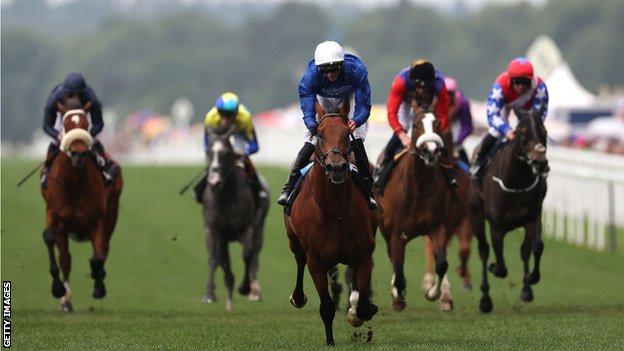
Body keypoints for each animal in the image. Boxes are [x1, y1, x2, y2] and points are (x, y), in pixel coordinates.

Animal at [40, 97, 123, 312]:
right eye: (67, 125)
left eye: (86, 125)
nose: (78, 154)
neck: (74, 184)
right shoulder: (55, 217)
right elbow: (54, 245)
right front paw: (59, 291)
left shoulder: (96, 220)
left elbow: (98, 256)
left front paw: (99, 284)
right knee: (66, 259)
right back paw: (66, 299)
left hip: (112, 212)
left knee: (104, 248)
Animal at [200, 126, 268, 310]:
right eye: (209, 151)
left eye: (226, 153)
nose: (214, 181)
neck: (225, 197)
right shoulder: (214, 230)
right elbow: (215, 259)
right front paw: (210, 294)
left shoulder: (247, 228)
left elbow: (247, 255)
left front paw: (245, 287)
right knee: (224, 260)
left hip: (259, 229)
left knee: (254, 258)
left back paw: (255, 291)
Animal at [286, 102, 378, 346]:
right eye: (320, 134)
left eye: (347, 134)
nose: (336, 167)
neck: (335, 211)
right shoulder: (316, 261)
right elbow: (326, 306)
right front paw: (330, 341)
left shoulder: (363, 253)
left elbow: (363, 305)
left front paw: (359, 311)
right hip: (294, 241)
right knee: (299, 260)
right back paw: (298, 297)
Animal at [376, 106, 472, 312]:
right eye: (415, 124)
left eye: (437, 123)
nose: (430, 150)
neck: (417, 189)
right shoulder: (397, 232)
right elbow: (398, 269)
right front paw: (398, 296)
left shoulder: (438, 226)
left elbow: (442, 263)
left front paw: (433, 294)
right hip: (387, 229)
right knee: (393, 259)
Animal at [470, 104, 548, 314]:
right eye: (523, 135)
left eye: (545, 133)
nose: (540, 163)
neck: (517, 182)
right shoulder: (497, 226)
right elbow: (501, 267)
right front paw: (493, 267)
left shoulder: (533, 218)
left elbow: (536, 247)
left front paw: (531, 279)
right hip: (476, 215)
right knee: (483, 250)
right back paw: (485, 300)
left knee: (526, 249)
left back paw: (526, 290)